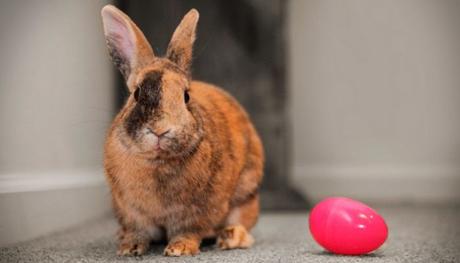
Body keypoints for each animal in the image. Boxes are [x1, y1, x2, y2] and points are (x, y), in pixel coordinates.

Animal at [101, 4, 266, 258]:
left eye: (186, 96)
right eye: (137, 94)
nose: (160, 130)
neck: (157, 161)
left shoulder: (198, 211)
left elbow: (189, 231)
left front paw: (180, 249)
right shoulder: (130, 211)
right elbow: (138, 231)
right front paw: (129, 248)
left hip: (246, 195)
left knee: (244, 223)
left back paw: (231, 237)